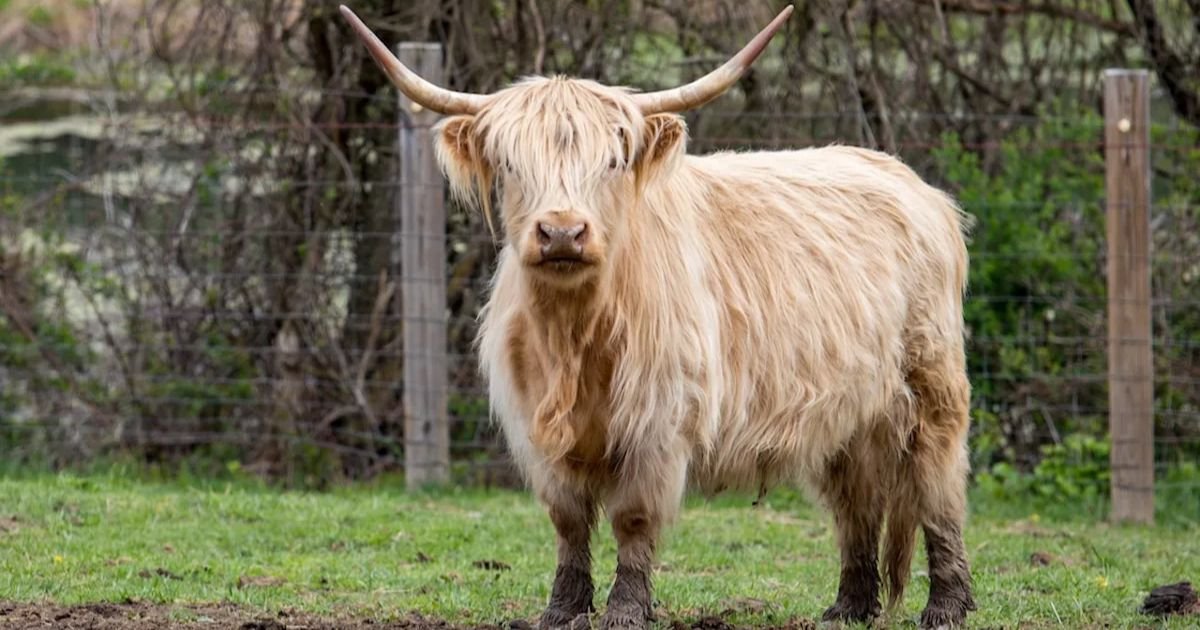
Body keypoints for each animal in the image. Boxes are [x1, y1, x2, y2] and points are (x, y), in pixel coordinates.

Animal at [341, 4, 976, 629]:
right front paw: (562, 608)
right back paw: (849, 608)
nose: (563, 232)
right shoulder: (537, 425)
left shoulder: (658, 419)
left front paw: (626, 608)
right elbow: (568, 520)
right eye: (511, 165)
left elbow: (633, 518)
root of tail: (912, 183)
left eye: (612, 162)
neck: (575, 337)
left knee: (938, 489)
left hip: (931, 386)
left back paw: (945, 605)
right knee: (856, 501)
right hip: (850, 412)